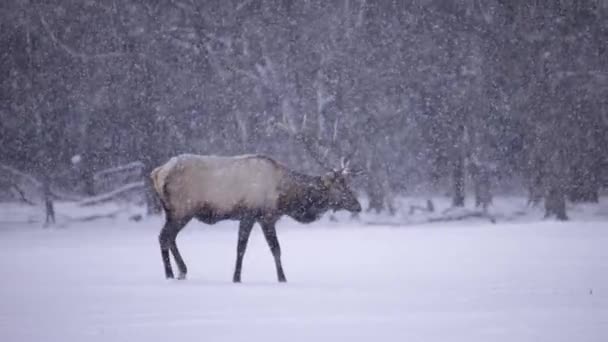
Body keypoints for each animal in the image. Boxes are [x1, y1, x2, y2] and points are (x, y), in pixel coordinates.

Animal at [151, 153, 360, 284]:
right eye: (340, 187)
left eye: (348, 184)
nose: (358, 205)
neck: (284, 197)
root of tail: (157, 172)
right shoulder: (256, 215)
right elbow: (267, 249)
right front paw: (280, 278)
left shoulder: (257, 217)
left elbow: (248, 248)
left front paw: (237, 277)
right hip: (181, 210)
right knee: (164, 237)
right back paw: (170, 275)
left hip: (174, 212)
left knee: (170, 237)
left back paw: (182, 271)